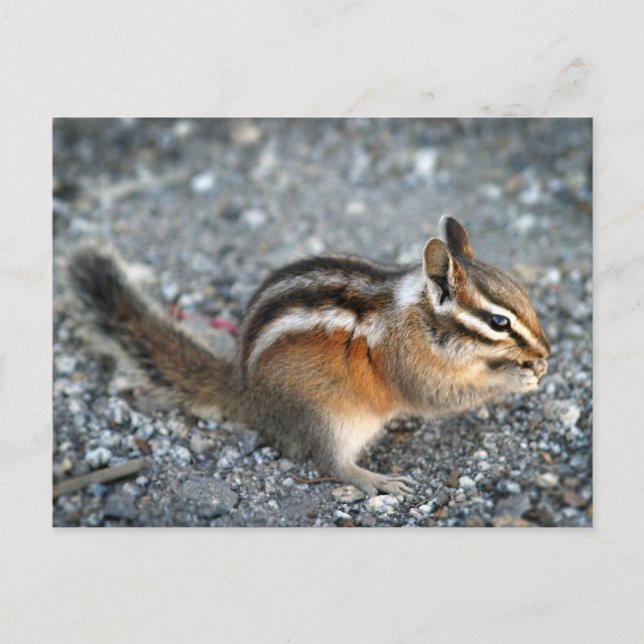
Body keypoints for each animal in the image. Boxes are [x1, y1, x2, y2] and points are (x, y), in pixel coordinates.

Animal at [68, 216, 550, 497]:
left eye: (524, 297)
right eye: (499, 322)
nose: (546, 350)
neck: (419, 317)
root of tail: (246, 394)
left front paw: (532, 367)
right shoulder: (413, 369)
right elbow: (442, 398)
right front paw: (514, 378)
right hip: (330, 419)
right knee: (331, 463)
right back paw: (376, 480)